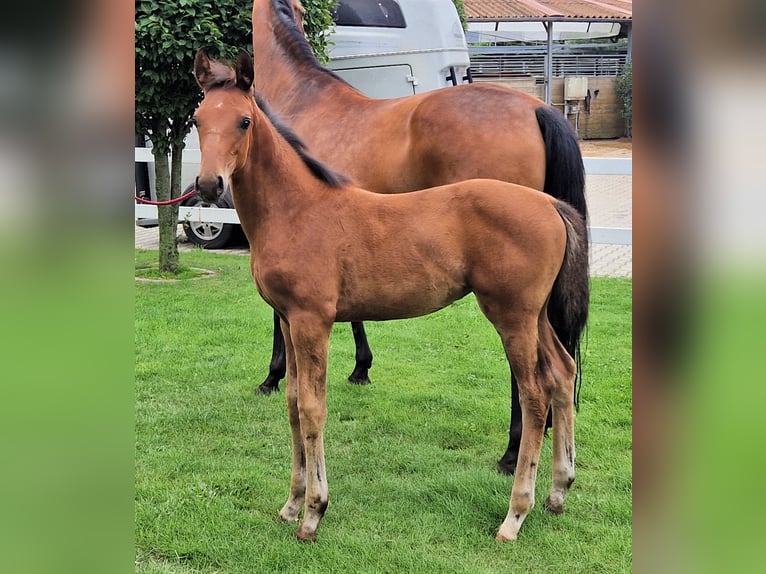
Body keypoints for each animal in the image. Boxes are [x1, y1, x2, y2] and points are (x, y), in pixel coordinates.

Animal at [194, 49, 592, 544]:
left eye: (244, 121)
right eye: (197, 119)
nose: (208, 186)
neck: (298, 209)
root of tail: (551, 205)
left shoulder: (312, 321)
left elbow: (312, 408)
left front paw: (313, 513)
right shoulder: (287, 319)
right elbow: (291, 403)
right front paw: (290, 505)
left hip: (512, 316)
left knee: (534, 394)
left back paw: (515, 514)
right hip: (536, 316)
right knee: (562, 373)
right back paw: (558, 491)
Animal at [252, 0, 588, 476]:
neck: (302, 99)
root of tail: (536, 109)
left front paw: (273, 375)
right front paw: (361, 368)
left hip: (509, 293)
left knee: (525, 370)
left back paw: (513, 451)